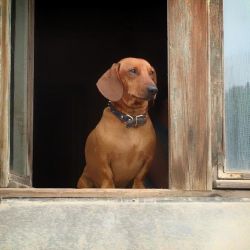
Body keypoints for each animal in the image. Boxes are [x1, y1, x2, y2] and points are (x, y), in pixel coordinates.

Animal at [77, 58, 157, 188]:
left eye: (151, 72)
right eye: (133, 71)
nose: (154, 90)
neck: (131, 118)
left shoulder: (148, 159)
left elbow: (140, 176)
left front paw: (138, 187)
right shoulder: (103, 159)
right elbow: (107, 175)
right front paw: (109, 188)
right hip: (83, 180)